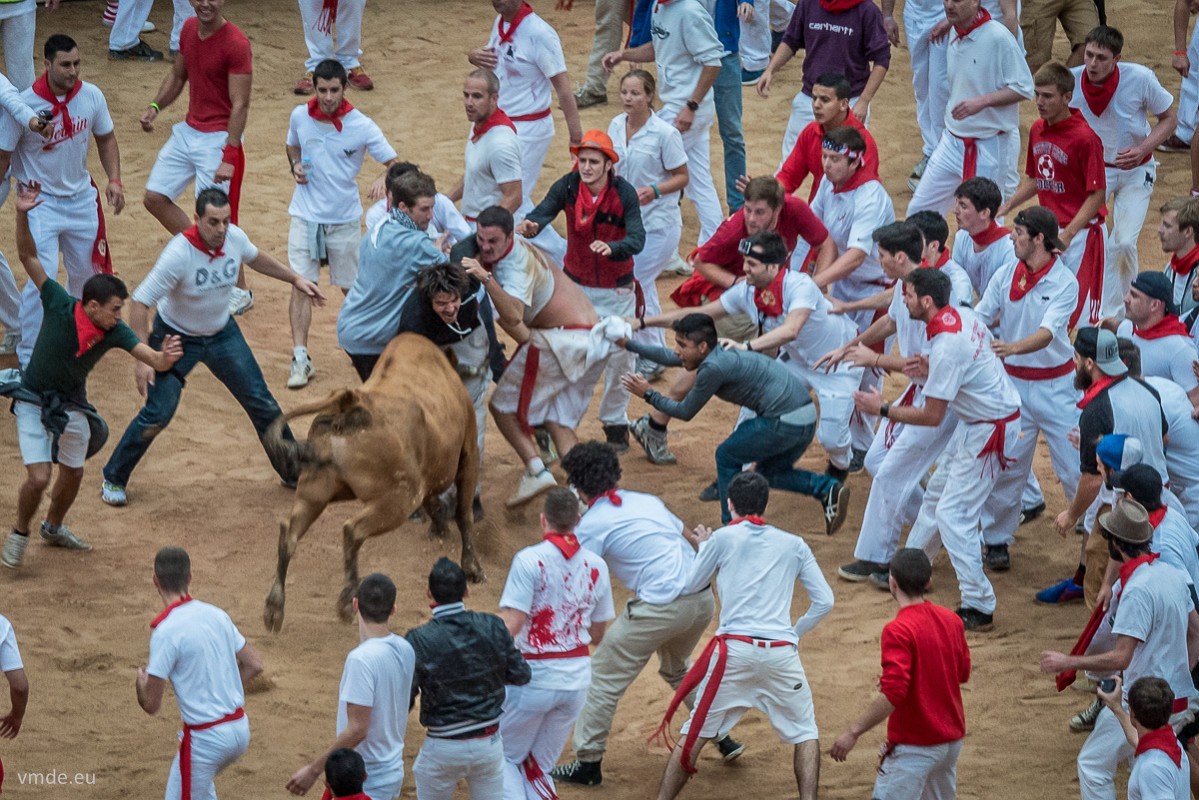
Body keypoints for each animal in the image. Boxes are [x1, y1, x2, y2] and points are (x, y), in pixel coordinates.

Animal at [262, 333, 481, 633]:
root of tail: (351, 402)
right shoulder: (468, 453)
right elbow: (464, 514)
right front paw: (472, 568)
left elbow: (435, 504)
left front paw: (439, 528)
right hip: (400, 497)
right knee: (352, 530)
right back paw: (346, 601)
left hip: (315, 490)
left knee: (289, 533)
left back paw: (274, 608)